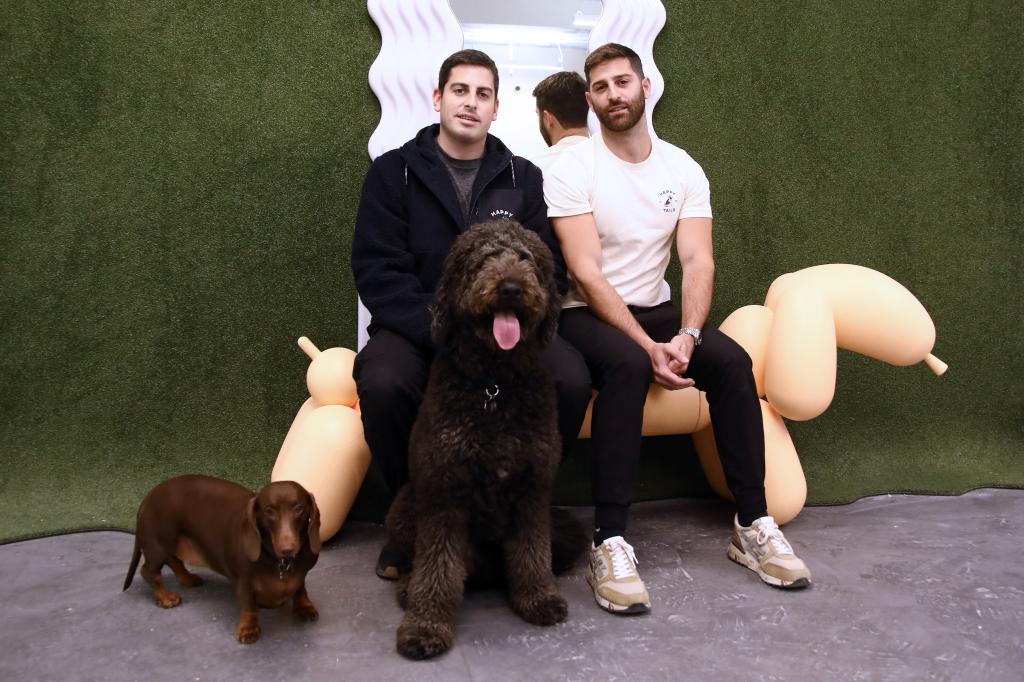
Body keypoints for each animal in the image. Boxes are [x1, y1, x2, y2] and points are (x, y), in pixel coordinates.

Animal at [385, 220, 589, 655]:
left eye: (526, 258)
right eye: (483, 258)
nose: (511, 287)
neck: (494, 385)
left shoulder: (532, 491)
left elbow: (531, 552)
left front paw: (539, 598)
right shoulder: (443, 494)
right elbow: (437, 566)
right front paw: (426, 625)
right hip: (405, 507)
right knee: (423, 561)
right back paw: (408, 585)